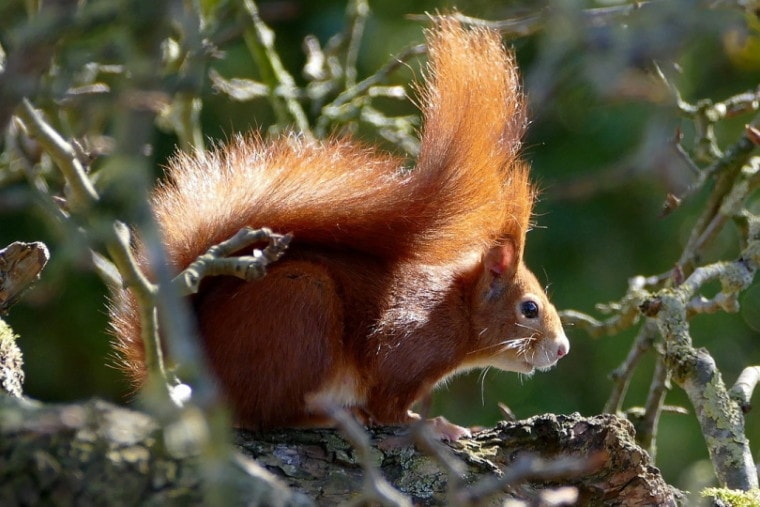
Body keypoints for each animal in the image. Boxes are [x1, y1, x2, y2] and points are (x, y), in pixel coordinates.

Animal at [108, 18, 568, 440]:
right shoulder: (403, 345)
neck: (454, 308)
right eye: (529, 308)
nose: (562, 350)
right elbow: (390, 408)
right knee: (268, 413)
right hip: (301, 306)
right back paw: (325, 417)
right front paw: (434, 426)